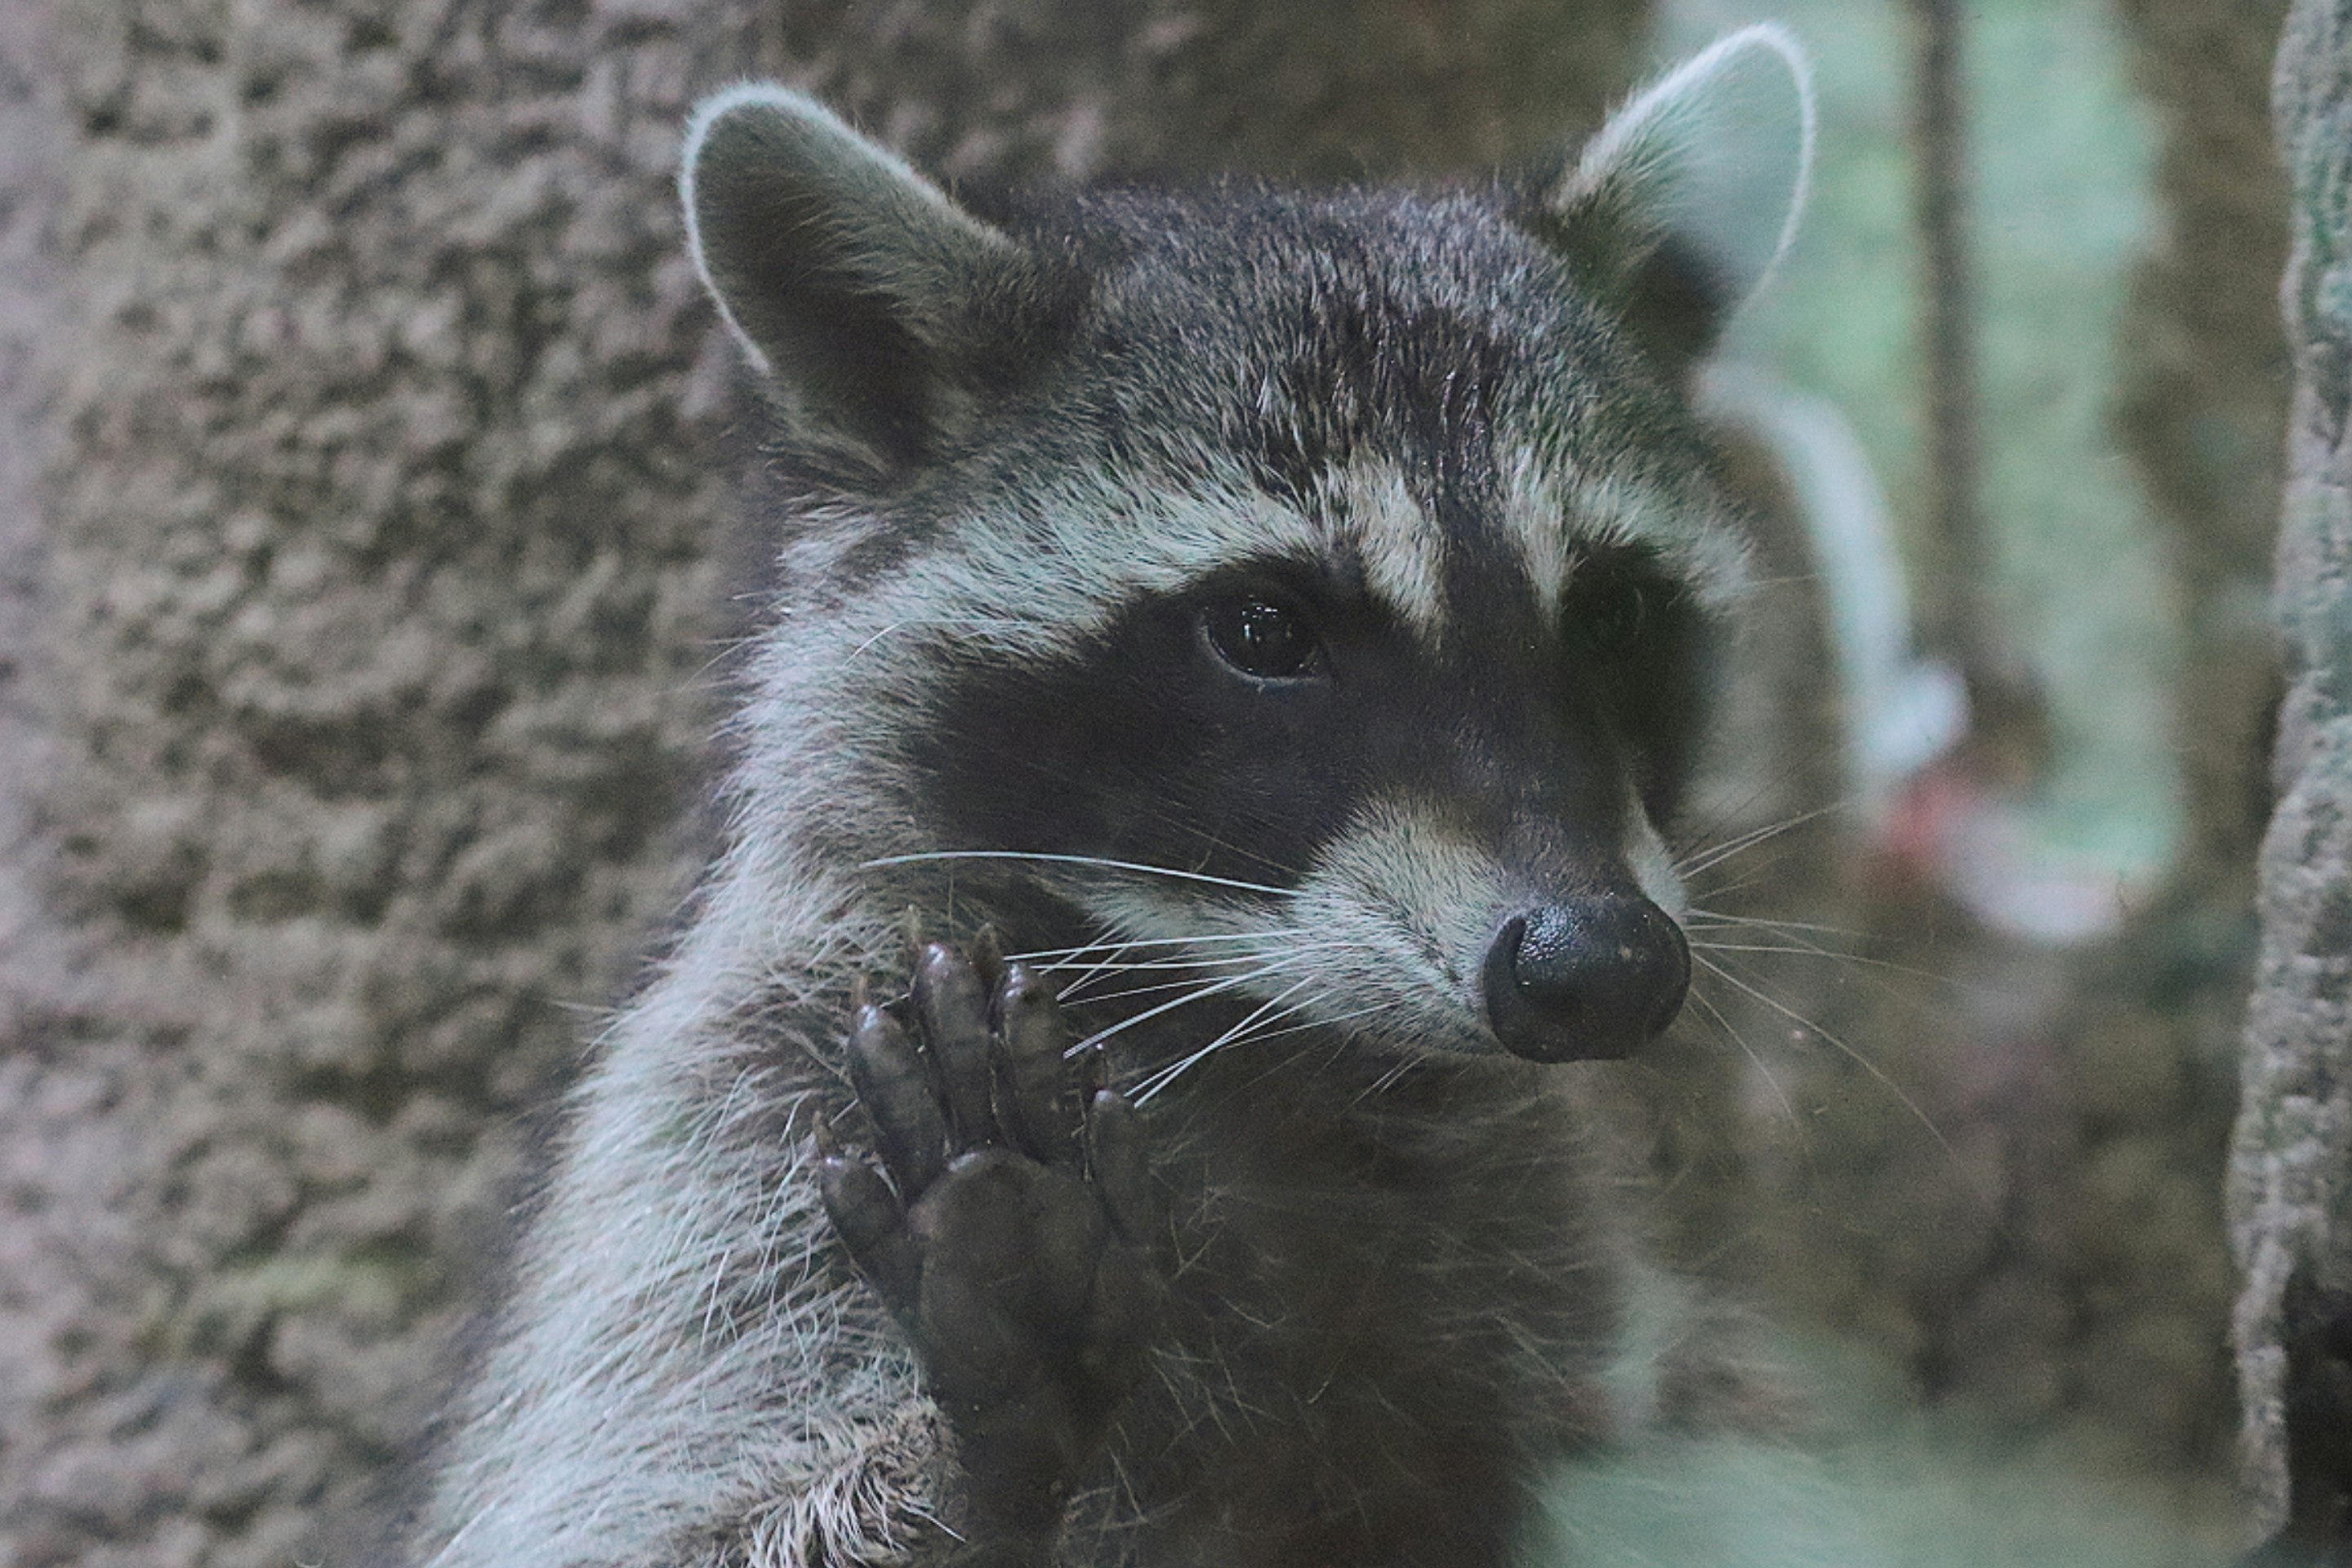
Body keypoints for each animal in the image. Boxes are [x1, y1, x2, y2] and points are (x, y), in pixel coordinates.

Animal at [410, 26, 1813, 1568]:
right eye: (1264, 630)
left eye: (1613, 612)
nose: (1601, 966)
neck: (1267, 1029)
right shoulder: (747, 1107)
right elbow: (631, 1510)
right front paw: (982, 1440)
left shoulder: (1519, 1241)